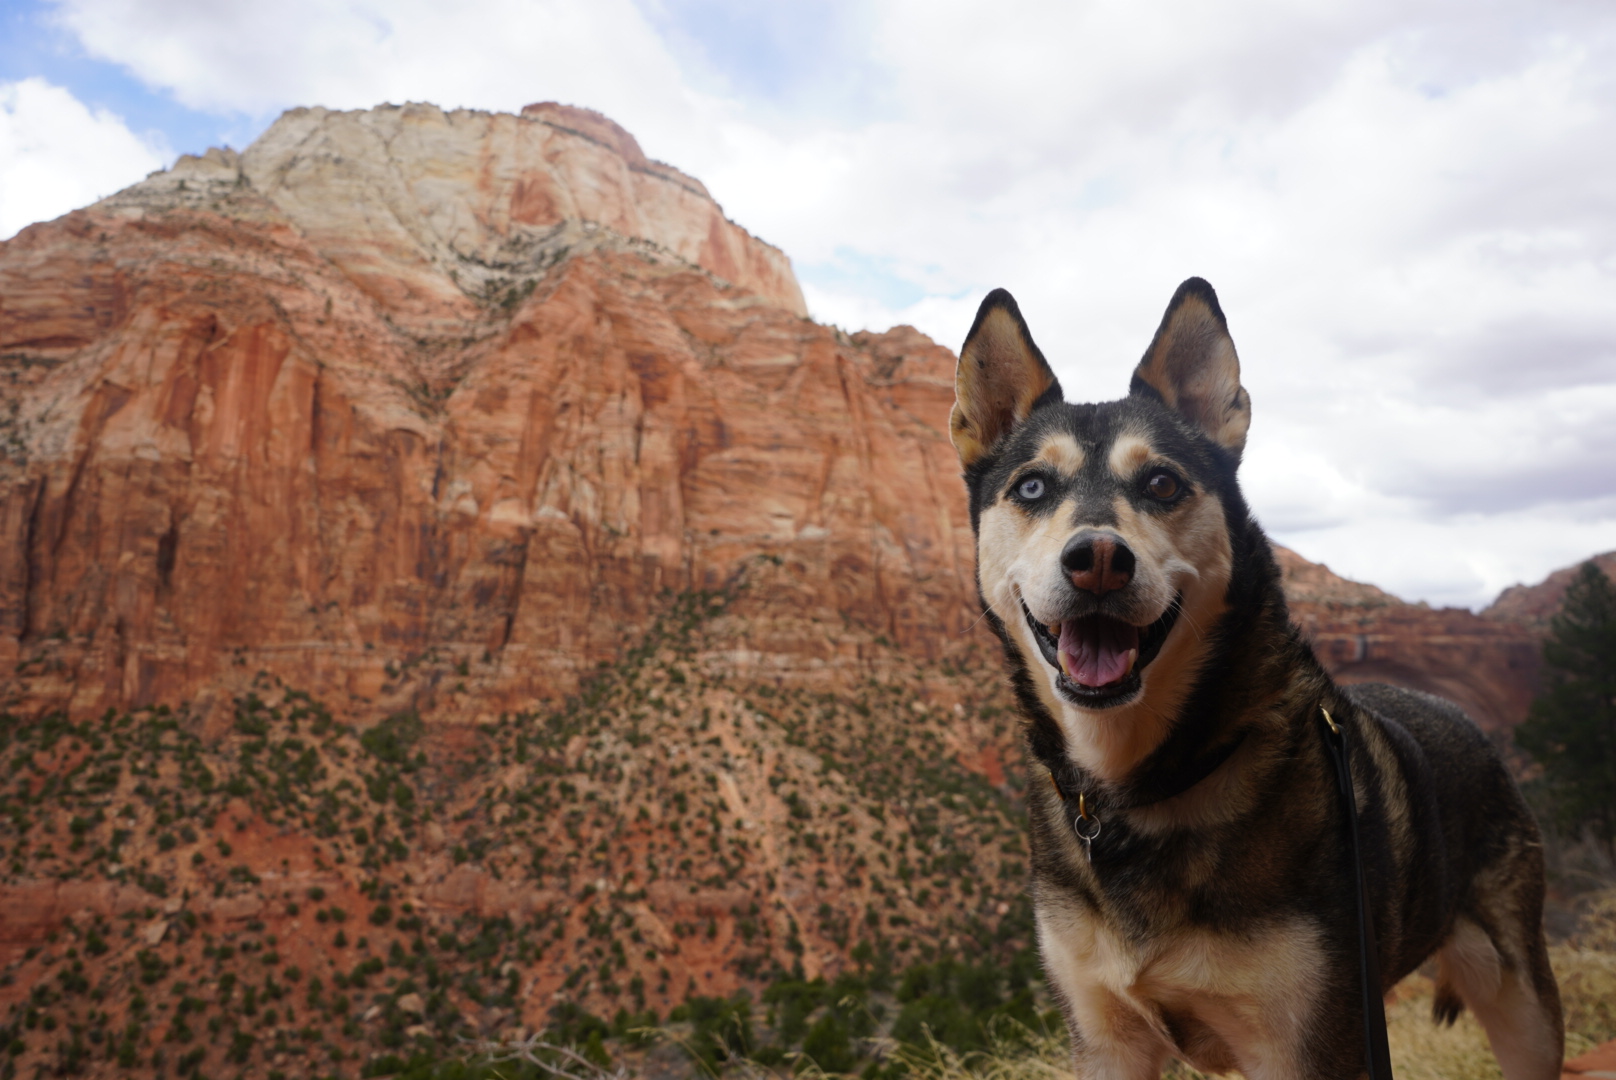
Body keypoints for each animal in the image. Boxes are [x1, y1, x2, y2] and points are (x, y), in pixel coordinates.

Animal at [950, 281, 1557, 1080]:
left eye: (1162, 482)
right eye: (1031, 486)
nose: (1097, 560)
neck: (1142, 788)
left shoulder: (1309, 1040)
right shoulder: (1105, 1036)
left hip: (1521, 996)